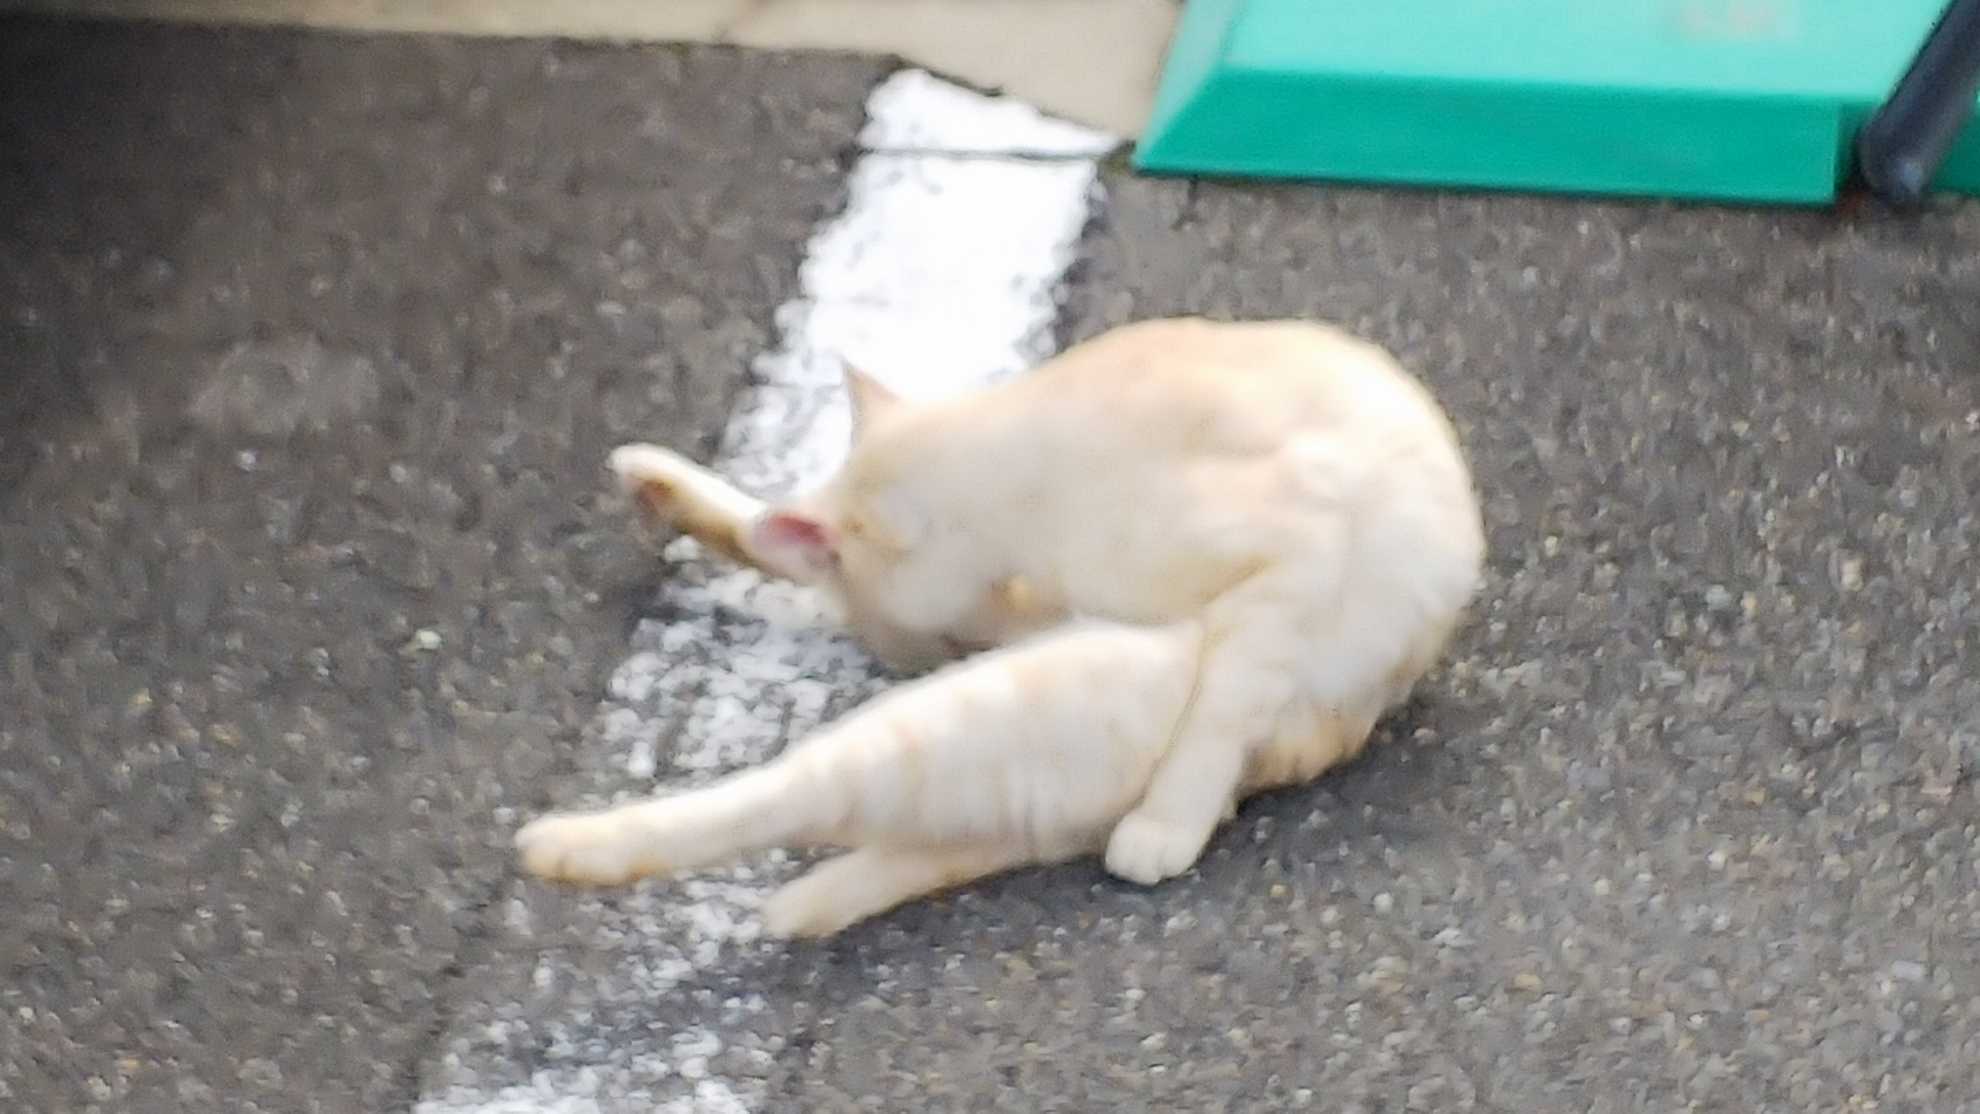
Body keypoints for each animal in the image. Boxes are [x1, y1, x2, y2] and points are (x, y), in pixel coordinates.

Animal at [515, 317, 1486, 937]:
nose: (912, 652)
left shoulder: (1296, 551)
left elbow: (1223, 705)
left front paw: (1166, 828)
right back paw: (654, 481)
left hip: (1034, 699)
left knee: (799, 787)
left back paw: (567, 849)